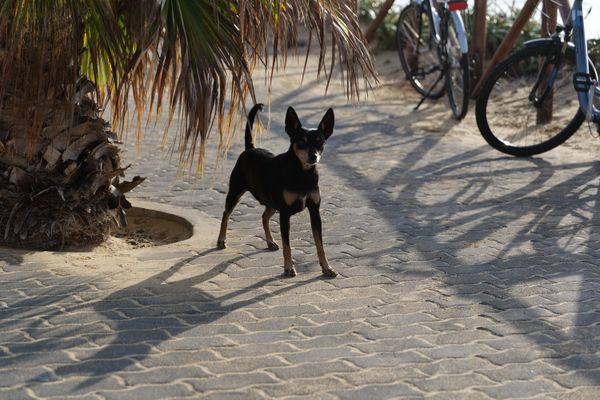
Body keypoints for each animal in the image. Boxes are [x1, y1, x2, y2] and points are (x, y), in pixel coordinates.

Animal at [216, 104, 338, 278]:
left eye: (320, 142)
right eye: (301, 142)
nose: (313, 156)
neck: (302, 174)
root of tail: (250, 148)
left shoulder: (315, 212)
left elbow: (320, 245)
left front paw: (326, 268)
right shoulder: (285, 214)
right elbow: (288, 245)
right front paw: (288, 268)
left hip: (271, 203)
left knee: (264, 217)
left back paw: (270, 241)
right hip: (235, 193)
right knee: (226, 213)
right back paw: (221, 240)